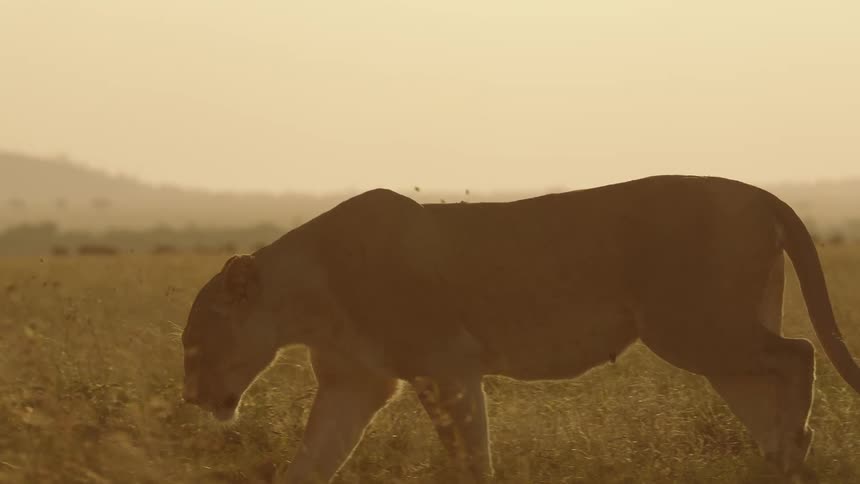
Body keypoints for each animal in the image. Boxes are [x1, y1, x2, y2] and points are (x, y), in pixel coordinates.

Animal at [181, 175, 860, 483]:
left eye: (194, 346)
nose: (187, 398)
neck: (303, 302)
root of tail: (760, 192)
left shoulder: (445, 364)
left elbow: (469, 456)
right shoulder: (356, 385)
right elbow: (312, 459)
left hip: (694, 326)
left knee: (799, 353)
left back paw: (794, 445)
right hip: (715, 342)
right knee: (770, 388)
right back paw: (782, 459)